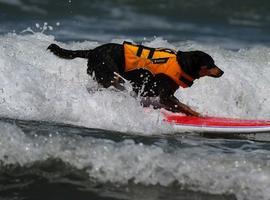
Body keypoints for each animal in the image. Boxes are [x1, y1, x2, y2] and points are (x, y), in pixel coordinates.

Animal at [48, 41, 224, 115]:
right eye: (211, 64)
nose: (222, 72)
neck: (182, 64)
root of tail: (92, 51)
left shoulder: (156, 93)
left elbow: (177, 105)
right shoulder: (165, 95)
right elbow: (183, 106)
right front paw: (197, 114)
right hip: (109, 74)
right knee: (114, 83)